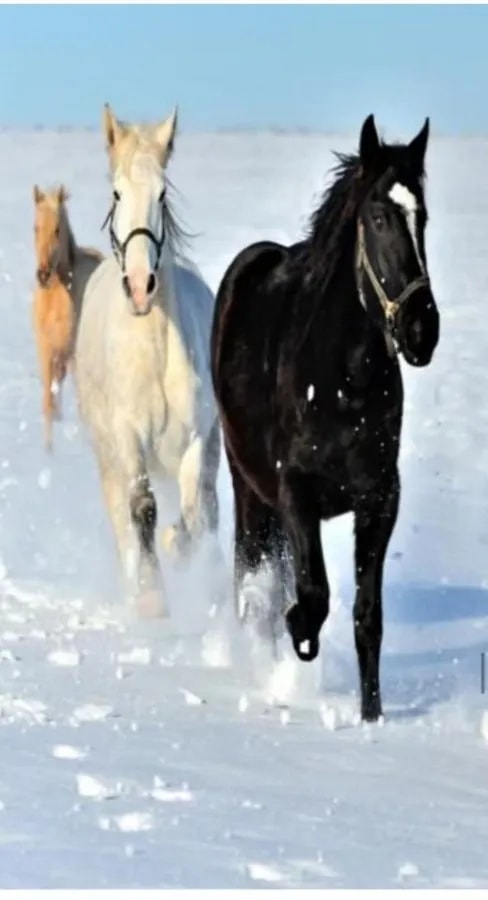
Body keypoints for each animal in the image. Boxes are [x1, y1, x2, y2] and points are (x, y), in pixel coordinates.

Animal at [32, 185, 104, 450]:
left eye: (57, 229)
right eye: (35, 227)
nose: (43, 274)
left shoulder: (73, 354)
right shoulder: (46, 350)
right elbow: (47, 403)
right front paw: (48, 451)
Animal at [75, 104, 220, 619]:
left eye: (162, 193)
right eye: (117, 193)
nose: (140, 286)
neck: (153, 352)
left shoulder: (196, 440)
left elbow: (193, 516)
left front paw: (177, 547)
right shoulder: (127, 438)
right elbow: (143, 508)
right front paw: (153, 598)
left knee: (211, 511)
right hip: (106, 458)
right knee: (121, 517)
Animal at [210, 114, 440, 722]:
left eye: (423, 217)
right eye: (379, 217)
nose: (421, 330)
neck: (343, 381)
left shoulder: (380, 498)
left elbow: (367, 616)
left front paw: (372, 716)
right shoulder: (296, 491)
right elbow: (311, 594)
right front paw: (300, 638)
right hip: (248, 487)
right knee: (252, 581)